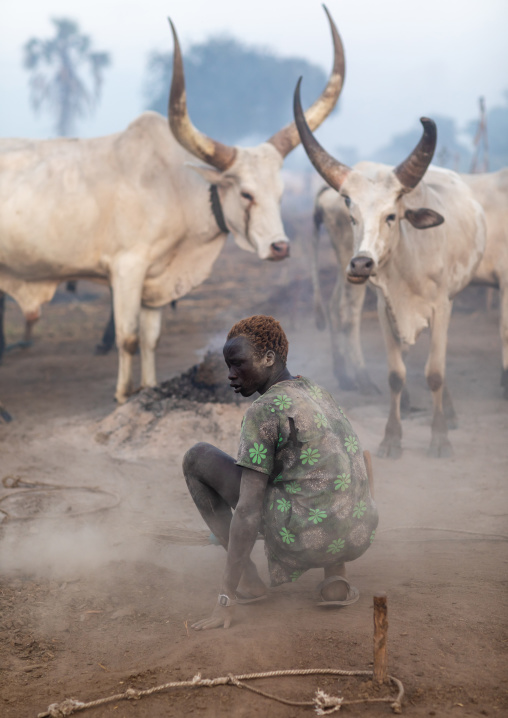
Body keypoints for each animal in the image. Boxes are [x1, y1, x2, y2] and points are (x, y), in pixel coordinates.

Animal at [0, 8, 345, 405]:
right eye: (245, 193)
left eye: (280, 192)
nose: (280, 247)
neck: (173, 187)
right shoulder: (127, 270)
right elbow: (128, 338)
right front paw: (123, 395)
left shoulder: (155, 280)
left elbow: (151, 338)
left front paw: (148, 388)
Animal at [294, 78, 486, 458]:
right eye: (352, 216)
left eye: (392, 216)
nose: (362, 263)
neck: (410, 268)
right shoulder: (387, 308)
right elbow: (396, 373)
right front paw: (391, 437)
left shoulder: (441, 306)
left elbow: (436, 372)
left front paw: (440, 437)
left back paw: (448, 411)